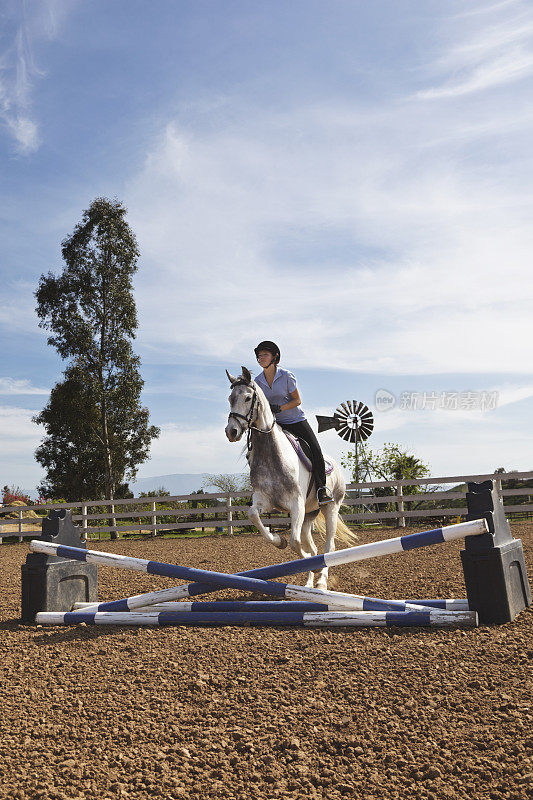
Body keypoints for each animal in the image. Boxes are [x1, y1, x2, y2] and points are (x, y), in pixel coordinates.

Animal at [222, 366, 356, 592]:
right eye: (230, 398)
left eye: (248, 398)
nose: (231, 431)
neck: (271, 453)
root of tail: (336, 465)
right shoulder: (265, 500)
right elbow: (254, 516)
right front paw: (278, 540)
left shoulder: (296, 505)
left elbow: (295, 542)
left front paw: (304, 559)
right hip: (310, 514)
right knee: (312, 546)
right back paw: (310, 582)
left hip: (331, 506)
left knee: (328, 546)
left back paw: (321, 581)